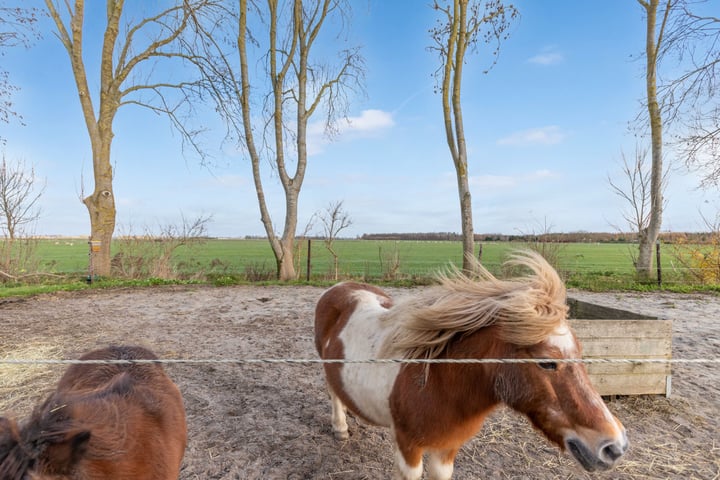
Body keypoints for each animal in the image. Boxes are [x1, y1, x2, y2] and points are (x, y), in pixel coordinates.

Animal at [316, 253, 624, 478]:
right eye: (547, 362)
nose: (615, 446)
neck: (437, 382)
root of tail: (341, 286)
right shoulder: (408, 448)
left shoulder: (446, 448)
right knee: (332, 391)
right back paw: (340, 427)